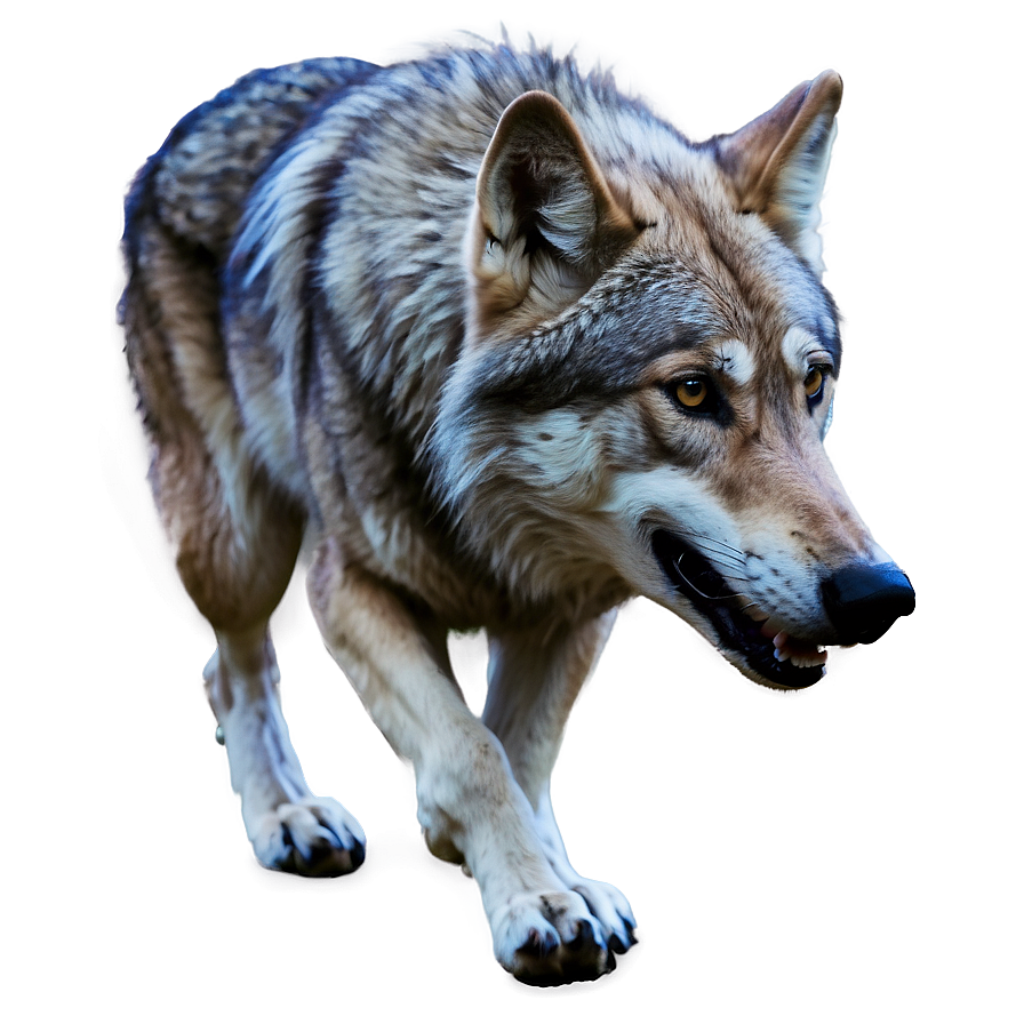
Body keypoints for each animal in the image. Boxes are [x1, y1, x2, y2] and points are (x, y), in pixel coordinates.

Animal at [116, 22, 914, 981]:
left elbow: (521, 751)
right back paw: (287, 816)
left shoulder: (570, 609)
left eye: (814, 384)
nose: (877, 595)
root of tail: (188, 128)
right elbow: (470, 750)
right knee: (228, 670)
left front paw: (542, 873)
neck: (497, 511)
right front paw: (538, 899)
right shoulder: (348, 586)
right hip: (240, 541)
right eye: (692, 393)